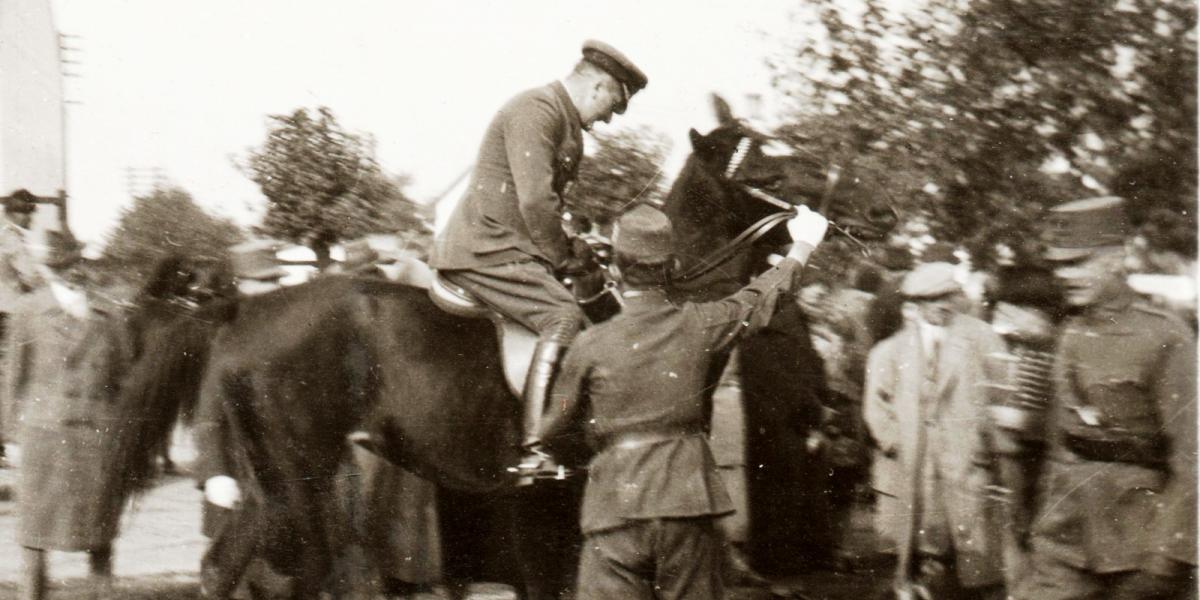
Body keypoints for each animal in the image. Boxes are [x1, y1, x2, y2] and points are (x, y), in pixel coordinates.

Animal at [112, 96, 897, 597]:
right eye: (766, 168)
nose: (879, 208)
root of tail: (240, 306)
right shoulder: (555, 510)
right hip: (299, 479)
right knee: (296, 574)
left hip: (267, 481)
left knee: (225, 570)